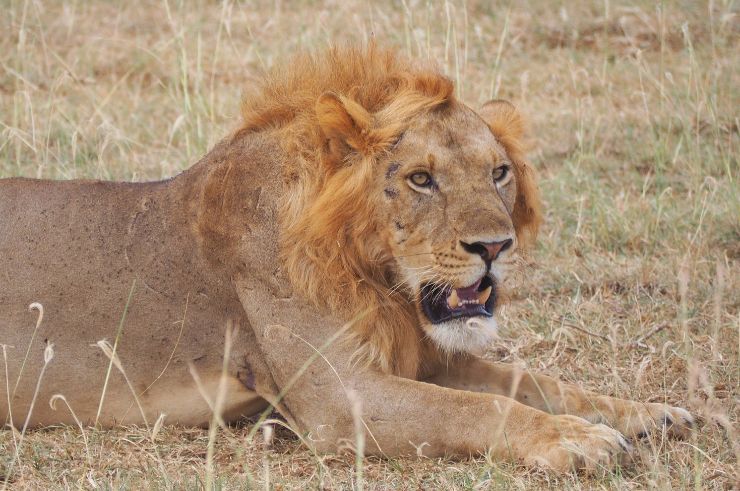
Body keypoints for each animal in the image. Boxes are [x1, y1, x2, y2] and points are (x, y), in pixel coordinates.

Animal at [0, 46, 692, 472]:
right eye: (420, 179)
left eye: (498, 173)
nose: (495, 247)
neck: (381, 279)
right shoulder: (340, 398)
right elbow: (478, 408)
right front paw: (575, 440)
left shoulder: (425, 356)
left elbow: (533, 382)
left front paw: (648, 414)